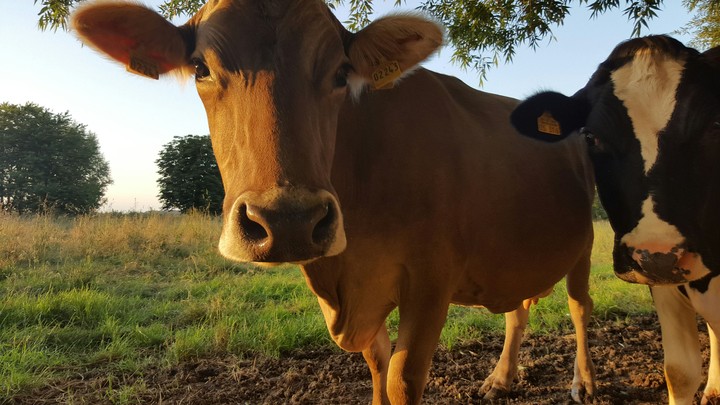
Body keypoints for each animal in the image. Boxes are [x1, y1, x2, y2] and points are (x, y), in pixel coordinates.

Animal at [71, 1, 597, 403]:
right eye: (201, 68)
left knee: (579, 306)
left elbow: (402, 379)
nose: (288, 221)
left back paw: (584, 383)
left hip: (587, 241)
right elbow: (378, 364)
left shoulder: (430, 281)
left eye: (342, 72)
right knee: (517, 309)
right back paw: (501, 378)